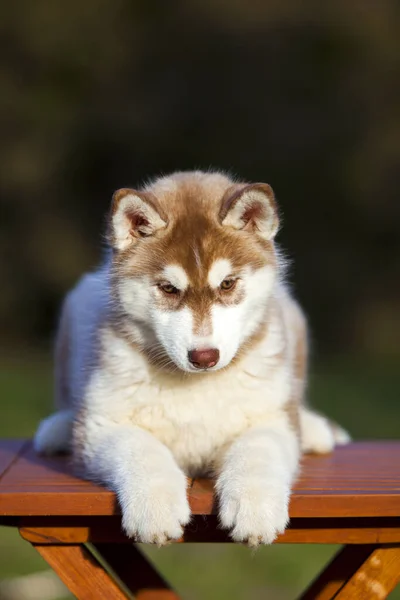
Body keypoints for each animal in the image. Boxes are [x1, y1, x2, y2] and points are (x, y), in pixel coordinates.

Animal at [35, 171, 350, 548]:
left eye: (227, 284)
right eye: (168, 288)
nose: (204, 356)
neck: (194, 384)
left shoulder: (271, 419)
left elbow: (258, 451)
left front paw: (254, 506)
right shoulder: (102, 426)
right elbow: (140, 449)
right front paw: (154, 507)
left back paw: (314, 429)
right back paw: (57, 428)